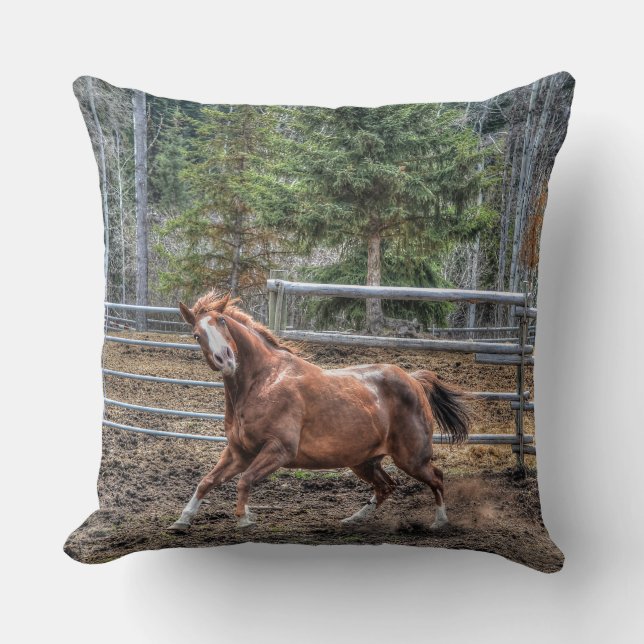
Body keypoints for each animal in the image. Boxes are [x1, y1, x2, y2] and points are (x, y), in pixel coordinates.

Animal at [168, 291, 471, 533]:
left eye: (221, 321)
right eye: (196, 334)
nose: (226, 359)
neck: (262, 382)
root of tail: (414, 380)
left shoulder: (279, 450)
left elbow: (244, 481)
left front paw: (244, 519)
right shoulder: (239, 452)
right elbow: (206, 482)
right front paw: (182, 521)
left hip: (411, 458)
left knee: (436, 478)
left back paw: (440, 522)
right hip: (364, 460)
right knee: (387, 486)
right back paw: (353, 519)